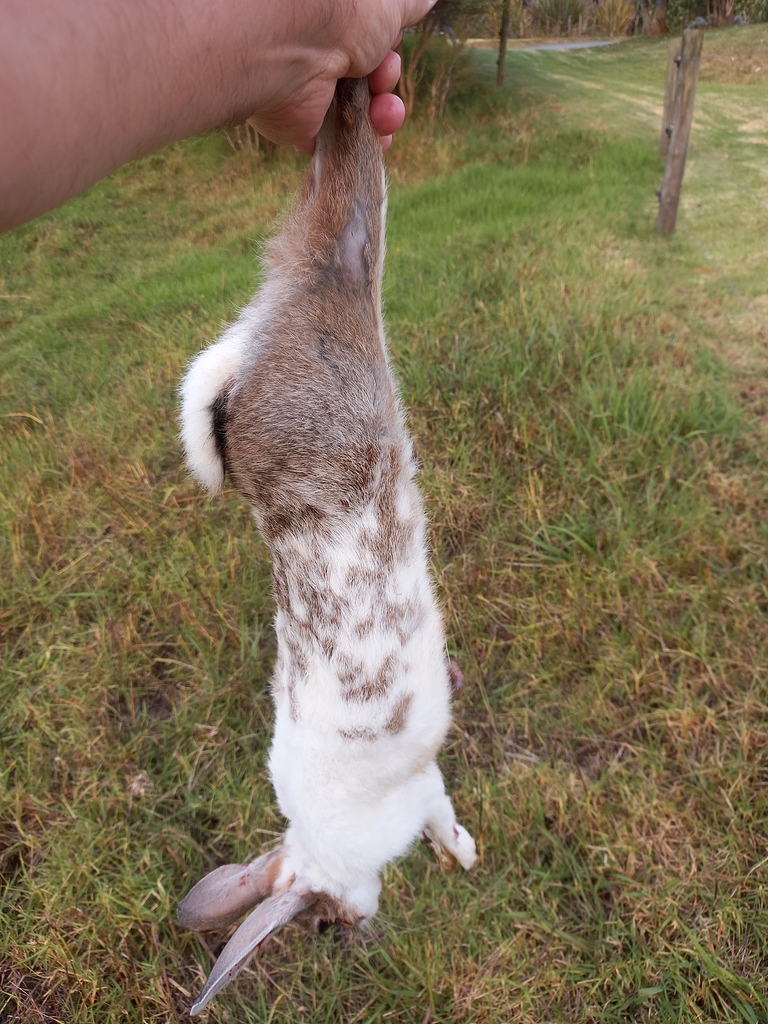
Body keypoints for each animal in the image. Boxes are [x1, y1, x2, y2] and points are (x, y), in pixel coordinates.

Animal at [178, 77, 477, 1016]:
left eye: (316, 924)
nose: (352, 930)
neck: (320, 844)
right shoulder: (423, 787)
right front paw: (462, 858)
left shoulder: (422, 790)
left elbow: (444, 817)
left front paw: (463, 855)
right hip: (350, 304)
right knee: (342, 198)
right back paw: (348, 99)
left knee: (343, 192)